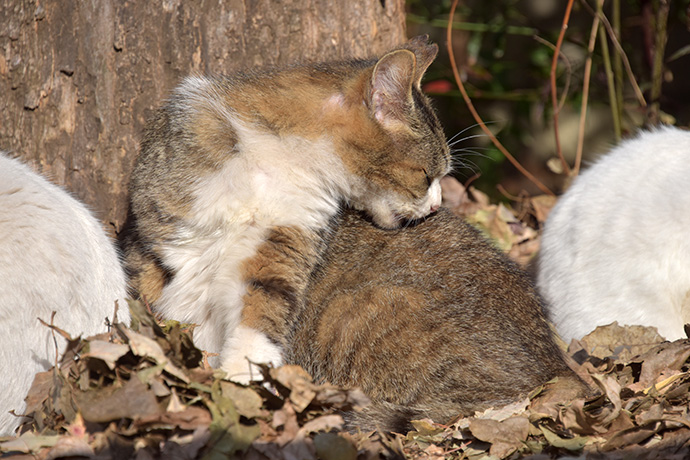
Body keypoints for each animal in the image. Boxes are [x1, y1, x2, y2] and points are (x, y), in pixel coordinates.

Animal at [121, 35, 448, 380]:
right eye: (426, 176)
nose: (437, 205)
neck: (280, 160)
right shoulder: (161, 229)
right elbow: (144, 287)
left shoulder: (284, 239)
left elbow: (263, 306)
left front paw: (244, 374)